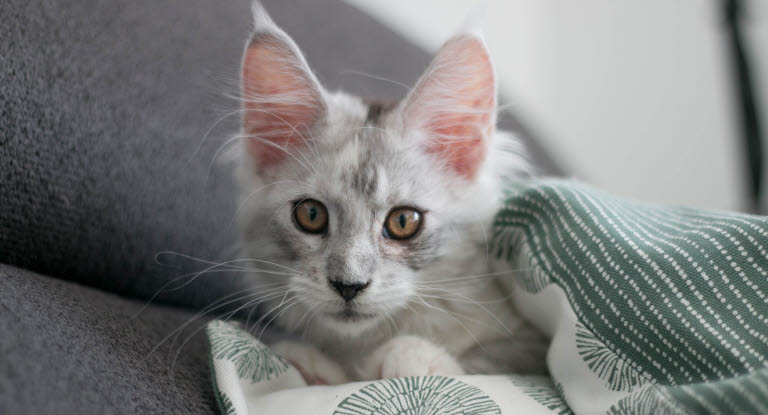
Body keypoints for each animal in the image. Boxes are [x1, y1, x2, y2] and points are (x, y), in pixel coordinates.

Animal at [237, 2, 544, 386]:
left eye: (403, 221)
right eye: (311, 215)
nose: (348, 286)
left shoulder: (531, 348)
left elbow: (494, 362)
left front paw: (411, 358)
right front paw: (311, 366)